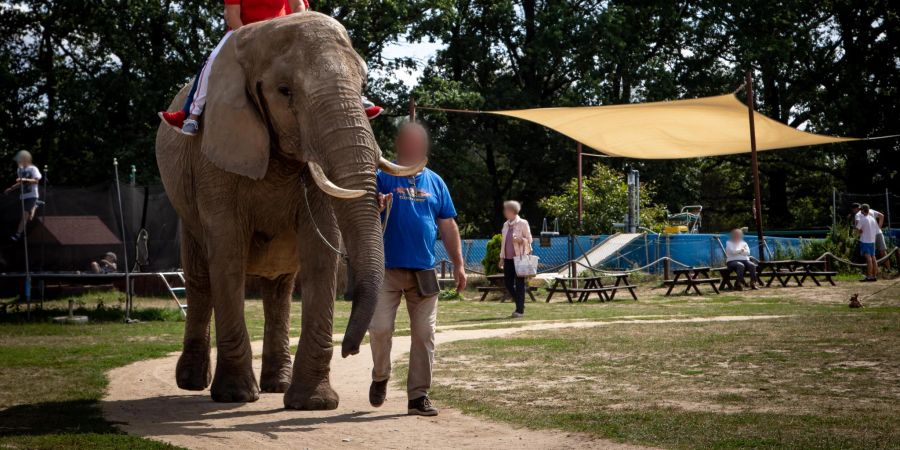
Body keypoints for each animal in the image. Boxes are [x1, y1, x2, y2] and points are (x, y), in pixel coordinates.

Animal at [155, 12, 422, 410]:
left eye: (363, 85)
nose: (351, 351)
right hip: (184, 202)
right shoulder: (213, 158)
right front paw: (235, 396)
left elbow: (320, 258)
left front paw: (314, 403)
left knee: (279, 289)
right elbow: (227, 255)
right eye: (285, 91)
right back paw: (191, 383)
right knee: (200, 279)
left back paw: (276, 384)